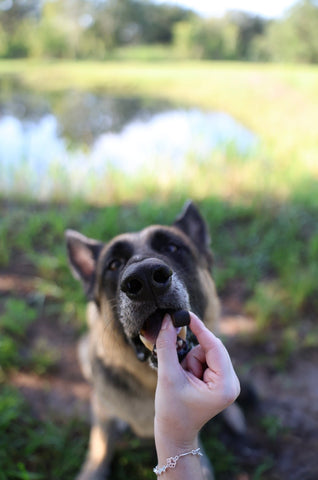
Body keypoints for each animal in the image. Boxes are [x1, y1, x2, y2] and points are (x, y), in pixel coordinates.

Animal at [65, 201, 238, 478]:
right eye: (113, 264)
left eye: (172, 248)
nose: (145, 278)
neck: (151, 383)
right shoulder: (102, 409)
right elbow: (100, 443)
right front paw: (93, 469)